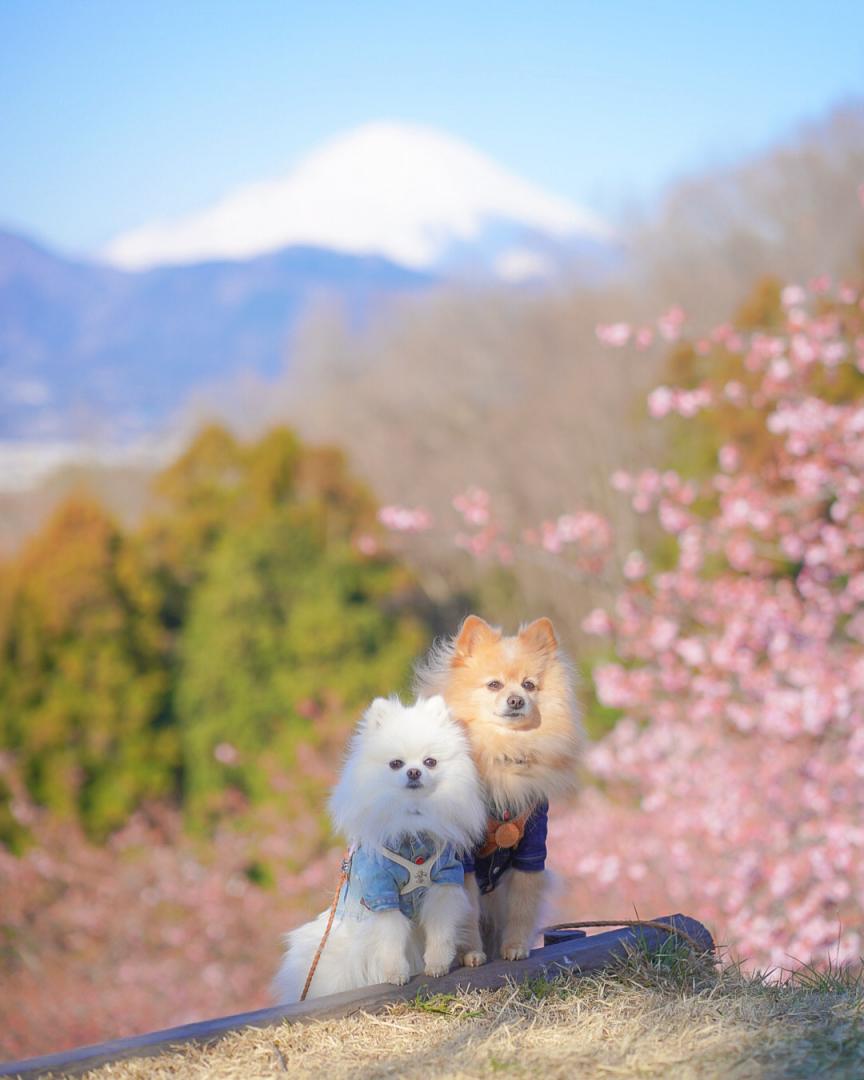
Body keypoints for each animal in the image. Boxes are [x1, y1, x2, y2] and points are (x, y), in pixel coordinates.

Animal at [273, 695, 486, 997]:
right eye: (395, 763)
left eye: (430, 762)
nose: (414, 771)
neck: (412, 823)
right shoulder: (382, 892)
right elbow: (391, 938)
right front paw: (396, 974)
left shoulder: (443, 881)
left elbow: (440, 930)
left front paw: (437, 965)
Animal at [414, 622, 583, 967]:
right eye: (494, 685)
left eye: (529, 685)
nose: (516, 700)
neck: (502, 751)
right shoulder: (461, 858)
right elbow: (465, 912)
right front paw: (471, 954)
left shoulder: (531, 848)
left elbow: (522, 906)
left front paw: (515, 947)